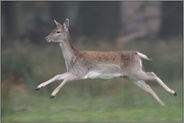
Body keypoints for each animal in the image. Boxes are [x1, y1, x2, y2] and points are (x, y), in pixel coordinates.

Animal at [34, 18, 177, 106]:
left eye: (58, 31)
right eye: (52, 30)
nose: (46, 38)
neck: (73, 58)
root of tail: (137, 54)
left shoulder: (82, 72)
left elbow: (66, 79)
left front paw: (52, 94)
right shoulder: (71, 71)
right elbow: (57, 75)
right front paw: (38, 87)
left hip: (134, 72)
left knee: (152, 74)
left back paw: (173, 93)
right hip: (130, 76)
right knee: (147, 87)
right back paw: (163, 105)